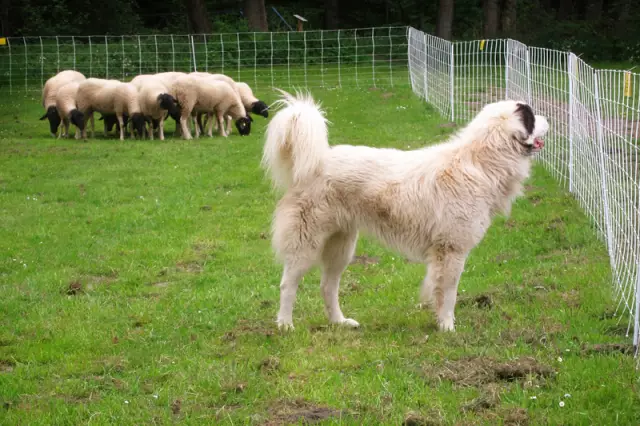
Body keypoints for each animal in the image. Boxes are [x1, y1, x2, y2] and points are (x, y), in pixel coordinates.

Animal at [262, 88, 552, 332]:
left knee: (327, 286)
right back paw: (285, 325)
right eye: (531, 116)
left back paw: (340, 322)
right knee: (288, 284)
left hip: (341, 246)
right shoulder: (452, 250)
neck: (480, 161)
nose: (548, 118)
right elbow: (448, 293)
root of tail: (316, 161)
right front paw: (447, 327)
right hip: (306, 243)